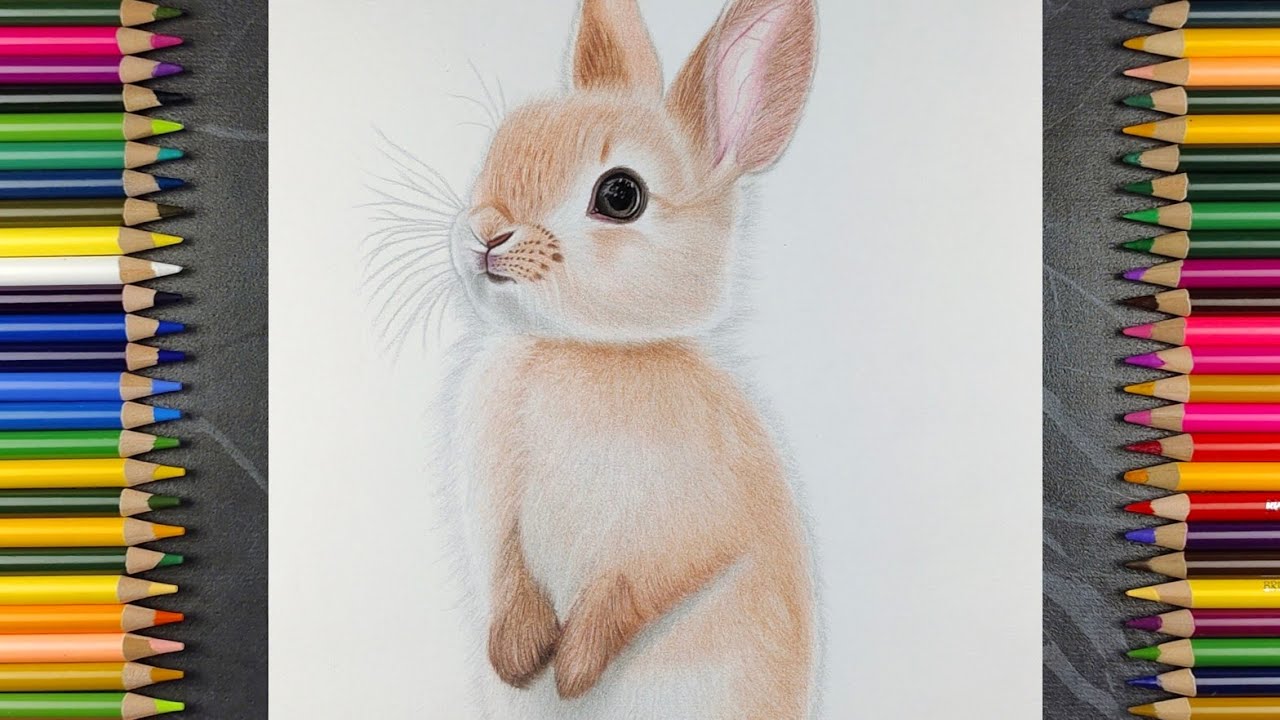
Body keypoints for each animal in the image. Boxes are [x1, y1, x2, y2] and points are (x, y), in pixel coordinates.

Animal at [441, 0, 818, 717]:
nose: (486, 232)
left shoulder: (690, 527)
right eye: (503, 142)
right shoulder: (497, 516)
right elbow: (509, 574)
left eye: (620, 195)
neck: (584, 350)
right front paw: (517, 657)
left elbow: (640, 586)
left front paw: (574, 669)